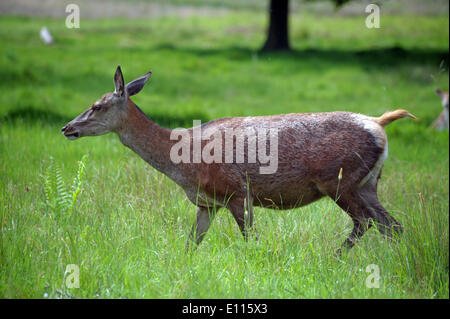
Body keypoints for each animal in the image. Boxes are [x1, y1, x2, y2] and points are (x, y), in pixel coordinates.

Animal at [61, 66, 416, 254]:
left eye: (97, 105)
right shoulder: (207, 203)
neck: (183, 164)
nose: (67, 128)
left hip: (338, 179)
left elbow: (250, 240)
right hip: (369, 182)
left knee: (366, 222)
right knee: (392, 224)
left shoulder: (237, 191)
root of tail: (379, 124)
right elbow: (191, 243)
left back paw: (335, 256)